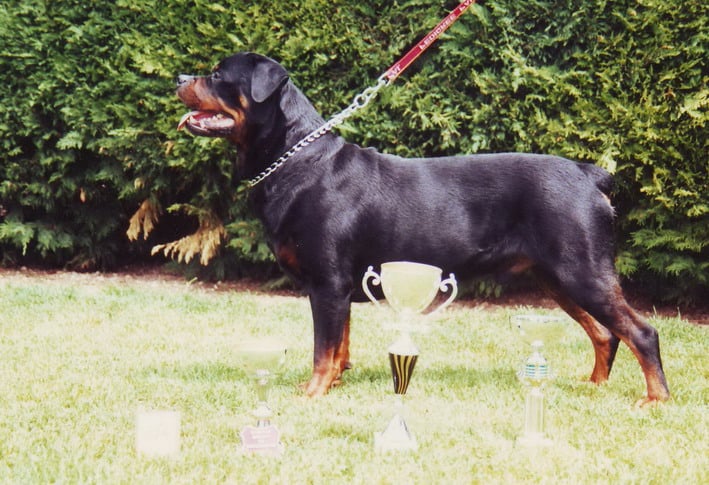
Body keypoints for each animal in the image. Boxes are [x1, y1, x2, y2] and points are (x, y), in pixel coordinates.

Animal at [176, 52, 668, 404]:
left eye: (218, 75)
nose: (180, 77)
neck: (296, 160)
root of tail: (590, 175)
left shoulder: (327, 281)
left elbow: (322, 348)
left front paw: (313, 392)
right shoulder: (340, 286)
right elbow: (340, 344)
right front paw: (336, 384)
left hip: (581, 270)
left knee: (641, 331)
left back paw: (655, 399)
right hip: (558, 277)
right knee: (605, 332)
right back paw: (594, 386)